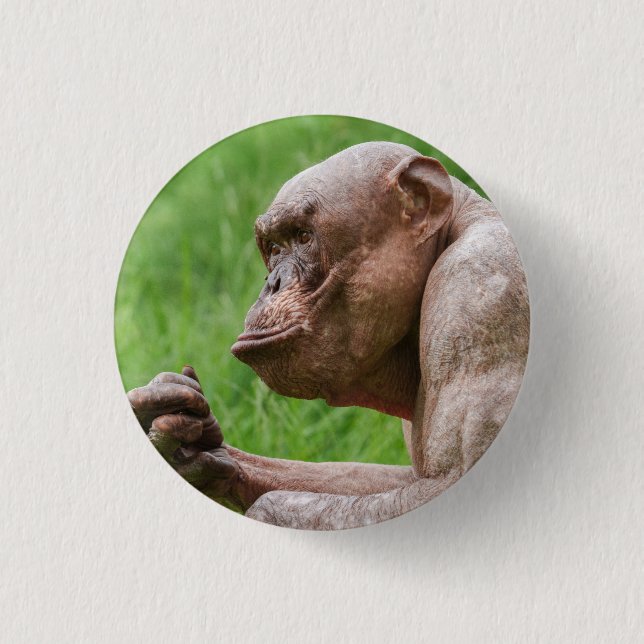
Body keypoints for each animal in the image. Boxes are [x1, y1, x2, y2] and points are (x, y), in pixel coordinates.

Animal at [127, 142, 530, 530]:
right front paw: (179, 431)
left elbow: (449, 476)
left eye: (303, 236)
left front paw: (269, 509)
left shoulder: (478, 290)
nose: (273, 283)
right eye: (274, 248)